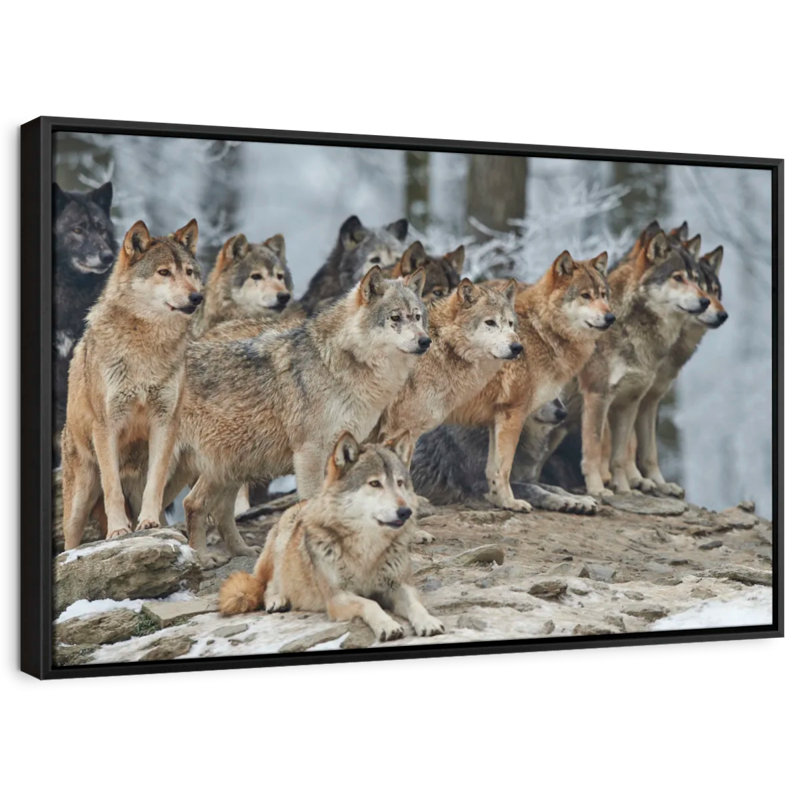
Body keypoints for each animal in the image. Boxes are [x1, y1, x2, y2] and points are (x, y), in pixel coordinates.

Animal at [60, 220, 204, 548]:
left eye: (190, 272)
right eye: (164, 272)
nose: (196, 298)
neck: (145, 346)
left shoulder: (165, 422)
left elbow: (155, 484)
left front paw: (148, 522)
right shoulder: (107, 425)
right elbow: (112, 487)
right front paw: (117, 531)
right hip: (79, 500)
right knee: (69, 541)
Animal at [172, 266, 430, 564]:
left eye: (417, 316)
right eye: (395, 318)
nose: (425, 341)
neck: (340, 363)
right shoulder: (309, 452)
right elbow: (312, 501)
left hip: (232, 464)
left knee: (207, 506)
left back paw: (241, 551)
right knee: (192, 503)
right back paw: (201, 557)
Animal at [218, 432, 445, 641]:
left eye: (399, 483)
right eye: (375, 483)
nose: (405, 512)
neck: (367, 549)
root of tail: (300, 503)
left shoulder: (398, 586)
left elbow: (415, 604)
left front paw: (428, 622)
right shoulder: (338, 597)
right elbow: (370, 603)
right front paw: (388, 626)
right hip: (282, 542)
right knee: (268, 584)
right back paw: (277, 600)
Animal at [445, 250, 614, 512]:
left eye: (603, 295)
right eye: (586, 296)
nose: (610, 317)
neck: (542, 331)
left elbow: (497, 470)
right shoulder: (513, 412)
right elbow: (504, 468)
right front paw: (510, 502)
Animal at [579, 222, 710, 497]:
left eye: (696, 280)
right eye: (678, 277)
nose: (705, 301)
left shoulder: (634, 400)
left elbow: (626, 454)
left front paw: (626, 489)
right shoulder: (598, 396)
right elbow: (595, 449)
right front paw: (597, 489)